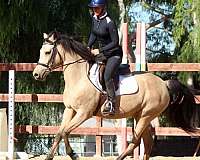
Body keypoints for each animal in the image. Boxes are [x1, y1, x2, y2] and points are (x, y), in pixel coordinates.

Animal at [32, 31, 198, 159]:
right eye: (40, 51)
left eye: (47, 52)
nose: (36, 74)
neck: (78, 77)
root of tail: (163, 83)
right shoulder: (70, 110)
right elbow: (60, 133)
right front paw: (49, 157)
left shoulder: (84, 113)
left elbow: (66, 132)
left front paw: (73, 154)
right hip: (140, 116)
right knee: (147, 143)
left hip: (146, 115)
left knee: (135, 142)